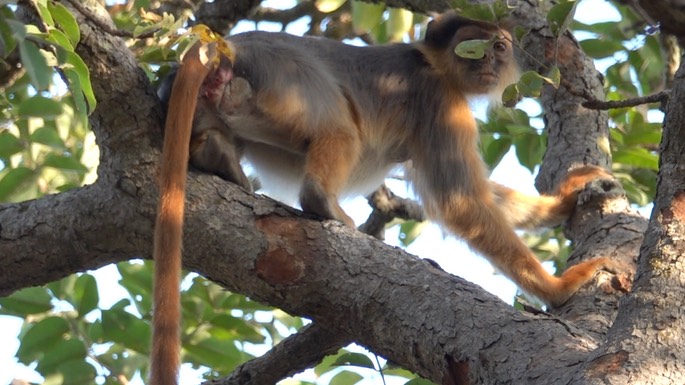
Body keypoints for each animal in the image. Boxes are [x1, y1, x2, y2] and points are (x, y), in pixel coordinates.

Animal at [154, 12, 616, 384]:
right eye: (472, 48)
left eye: (499, 48)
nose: (487, 63)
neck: (433, 65)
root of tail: (228, 46)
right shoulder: (440, 101)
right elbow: (459, 200)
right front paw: (558, 289)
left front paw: (564, 201)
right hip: (285, 78)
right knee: (340, 128)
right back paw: (321, 201)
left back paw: (215, 155)